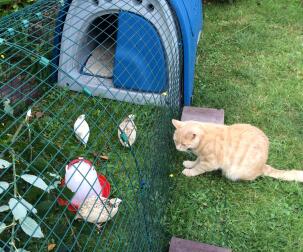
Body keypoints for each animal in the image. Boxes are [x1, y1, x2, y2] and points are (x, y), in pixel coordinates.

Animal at [173, 119, 303, 181]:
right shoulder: (202, 157)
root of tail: (263, 165)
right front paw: (189, 164)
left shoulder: (210, 162)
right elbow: (196, 162)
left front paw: (189, 172)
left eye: (183, 144)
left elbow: (198, 168)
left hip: (235, 172)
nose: (176, 148)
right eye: (175, 141)